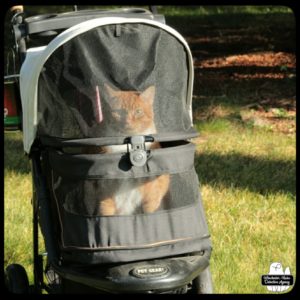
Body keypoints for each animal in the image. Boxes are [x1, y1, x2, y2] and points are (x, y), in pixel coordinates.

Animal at [85, 84, 169, 216]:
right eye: (119, 112)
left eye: (138, 112)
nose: (127, 121)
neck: (127, 143)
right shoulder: (105, 195)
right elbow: (106, 213)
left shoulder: (151, 196)